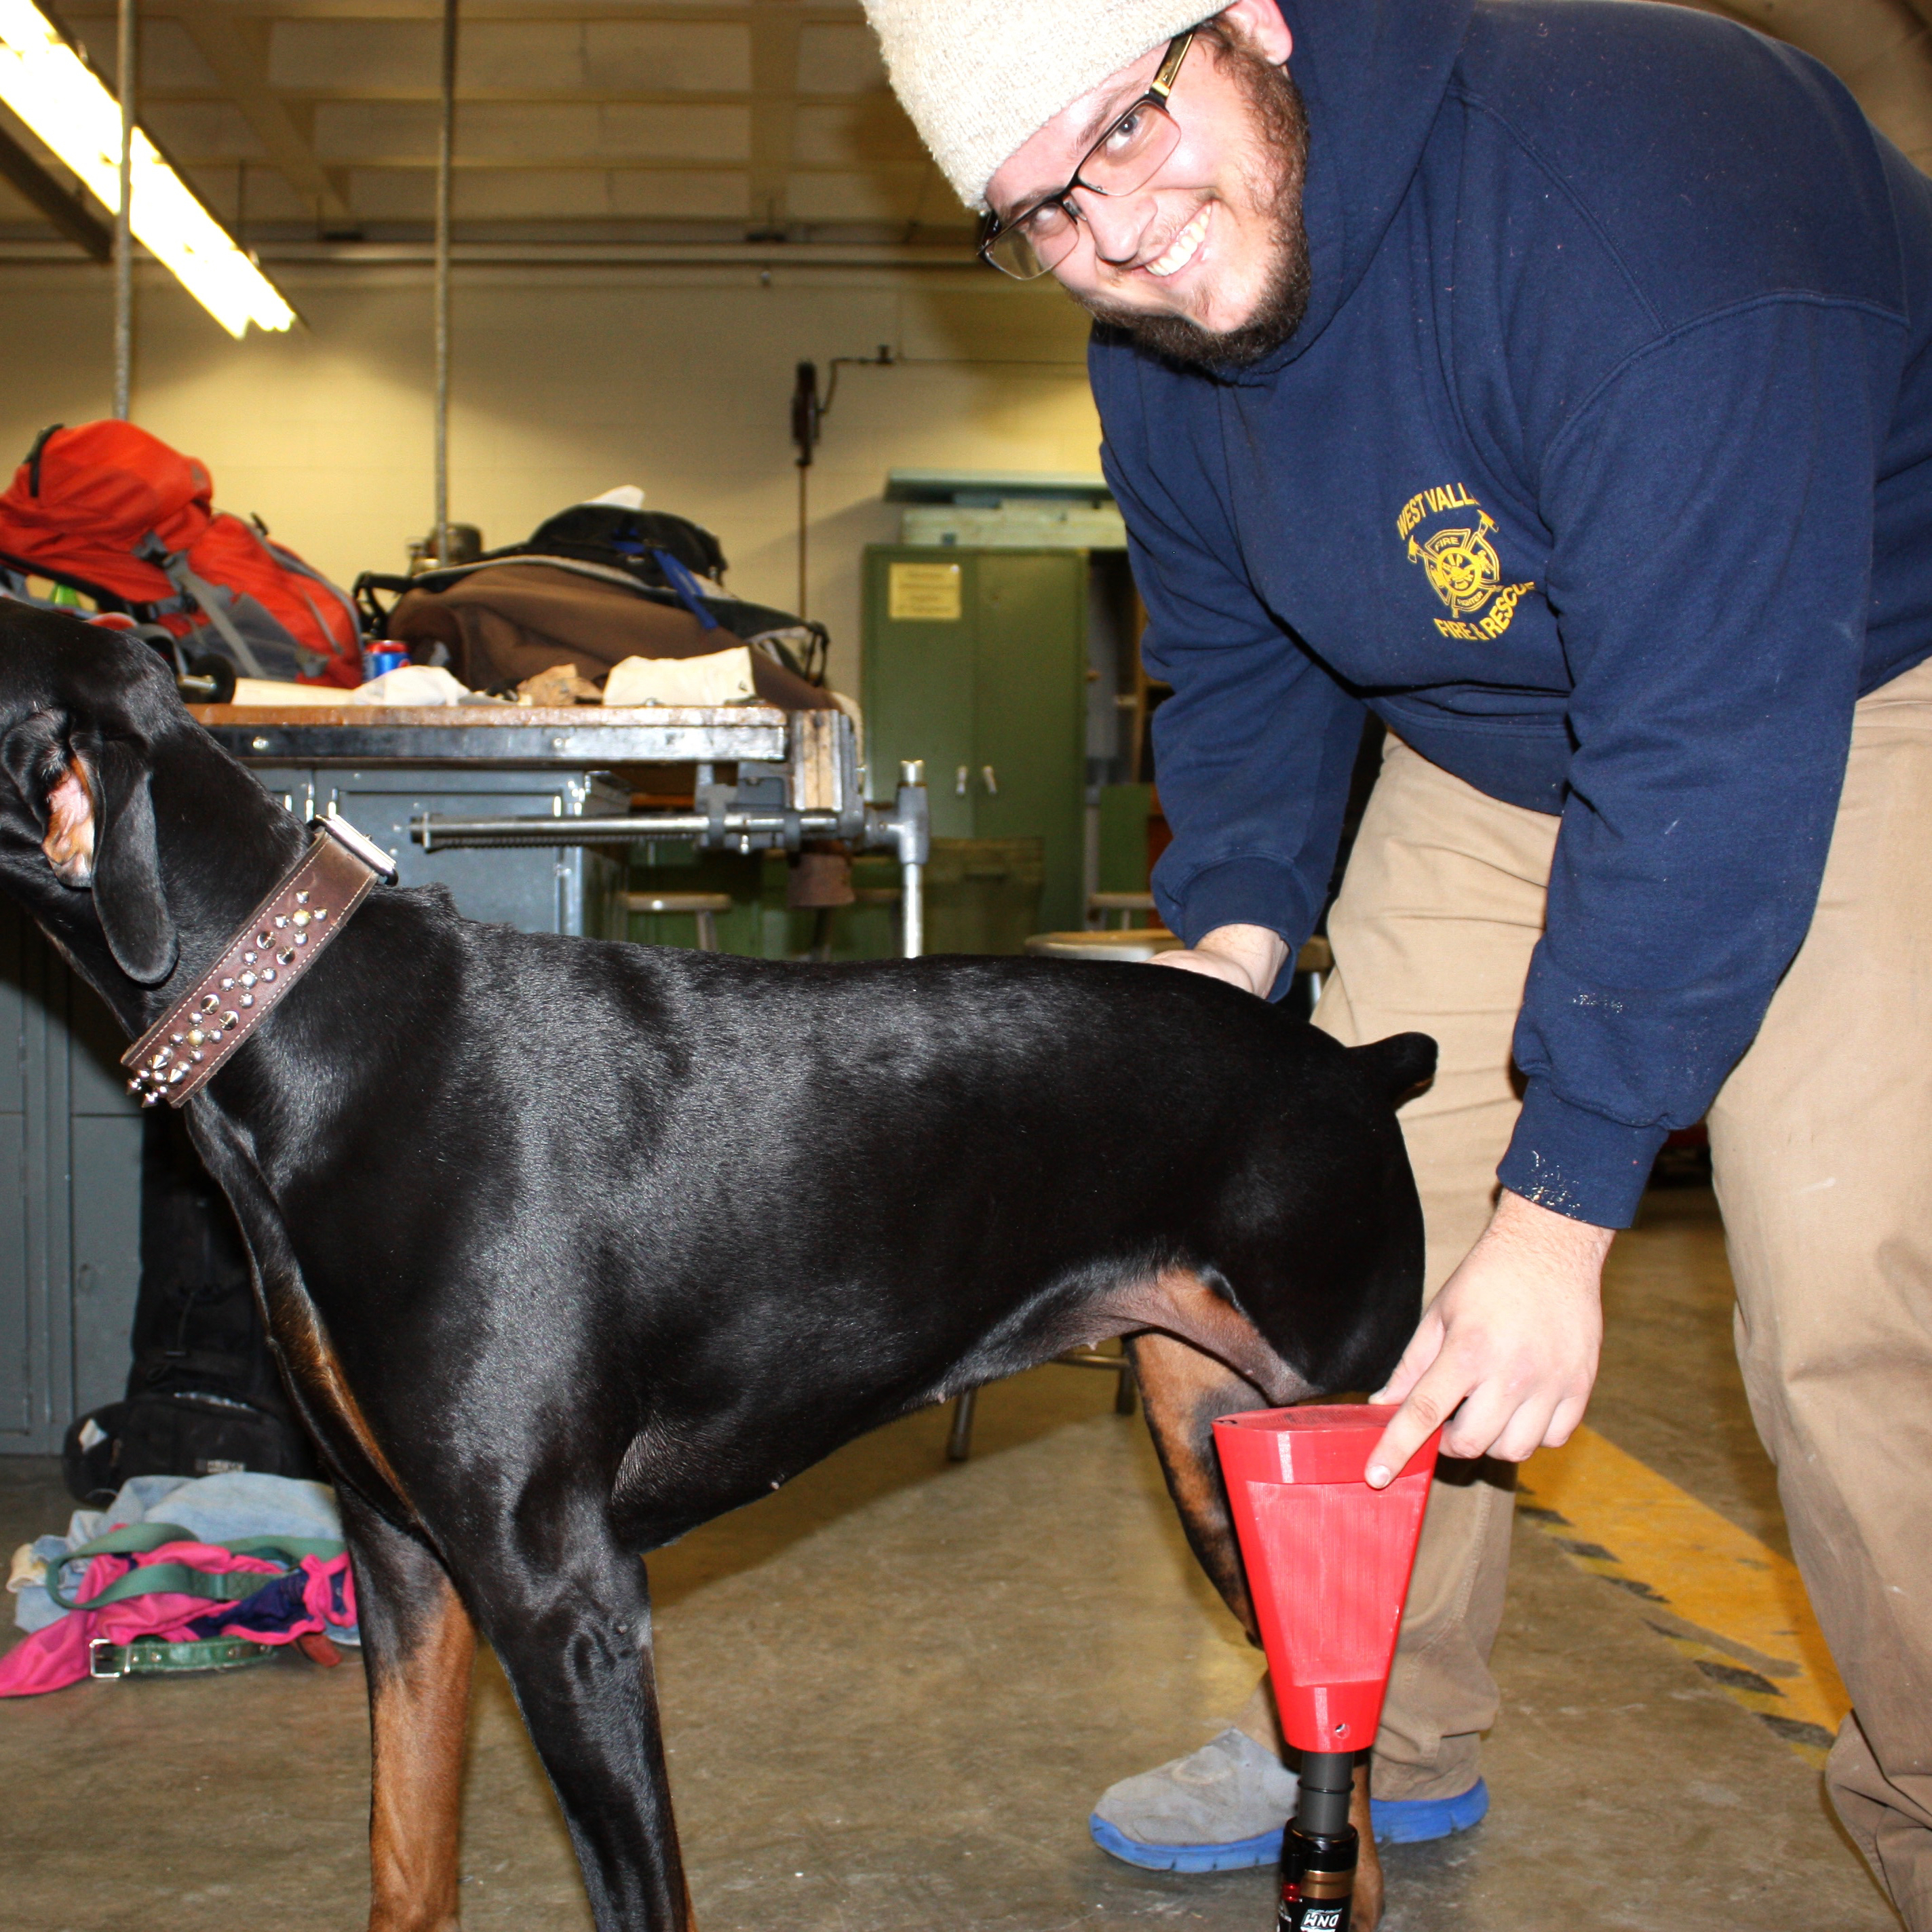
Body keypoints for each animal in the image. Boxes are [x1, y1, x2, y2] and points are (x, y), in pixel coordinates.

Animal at [0, 610, 1422, 1924]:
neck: (311, 1026)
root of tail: (1354, 1069)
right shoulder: (401, 1556)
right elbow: (404, 1859)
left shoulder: (565, 1601)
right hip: (1216, 1457)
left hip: (1335, 1448)